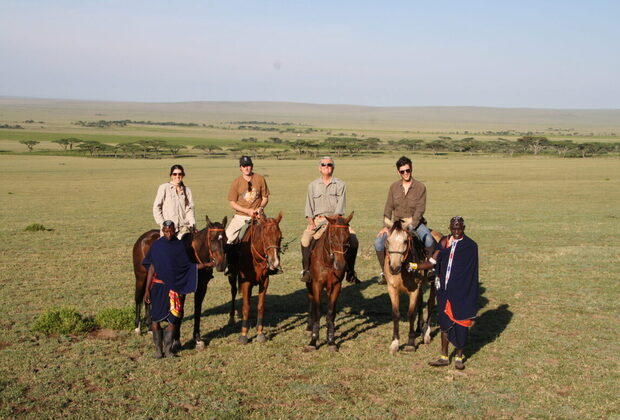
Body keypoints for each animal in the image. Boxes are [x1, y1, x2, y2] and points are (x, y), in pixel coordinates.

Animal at [131, 215, 228, 350]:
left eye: (226, 239)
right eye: (212, 239)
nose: (221, 264)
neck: (193, 253)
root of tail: (143, 238)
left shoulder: (202, 288)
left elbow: (197, 310)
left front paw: (197, 339)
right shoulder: (180, 288)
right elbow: (179, 313)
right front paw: (176, 340)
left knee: (147, 298)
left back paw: (150, 327)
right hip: (141, 276)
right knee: (139, 298)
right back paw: (138, 328)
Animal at [230, 213, 284, 344]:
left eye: (280, 237)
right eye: (265, 236)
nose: (274, 262)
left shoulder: (264, 281)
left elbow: (260, 306)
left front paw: (260, 333)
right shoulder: (245, 282)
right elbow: (246, 307)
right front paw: (243, 335)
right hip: (233, 276)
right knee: (233, 292)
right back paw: (231, 319)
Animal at [306, 213, 354, 352]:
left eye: (348, 237)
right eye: (332, 236)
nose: (341, 265)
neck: (328, 261)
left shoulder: (336, 285)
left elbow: (331, 312)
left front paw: (331, 340)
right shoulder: (317, 284)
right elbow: (317, 310)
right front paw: (313, 341)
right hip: (309, 284)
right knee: (311, 300)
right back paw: (309, 327)